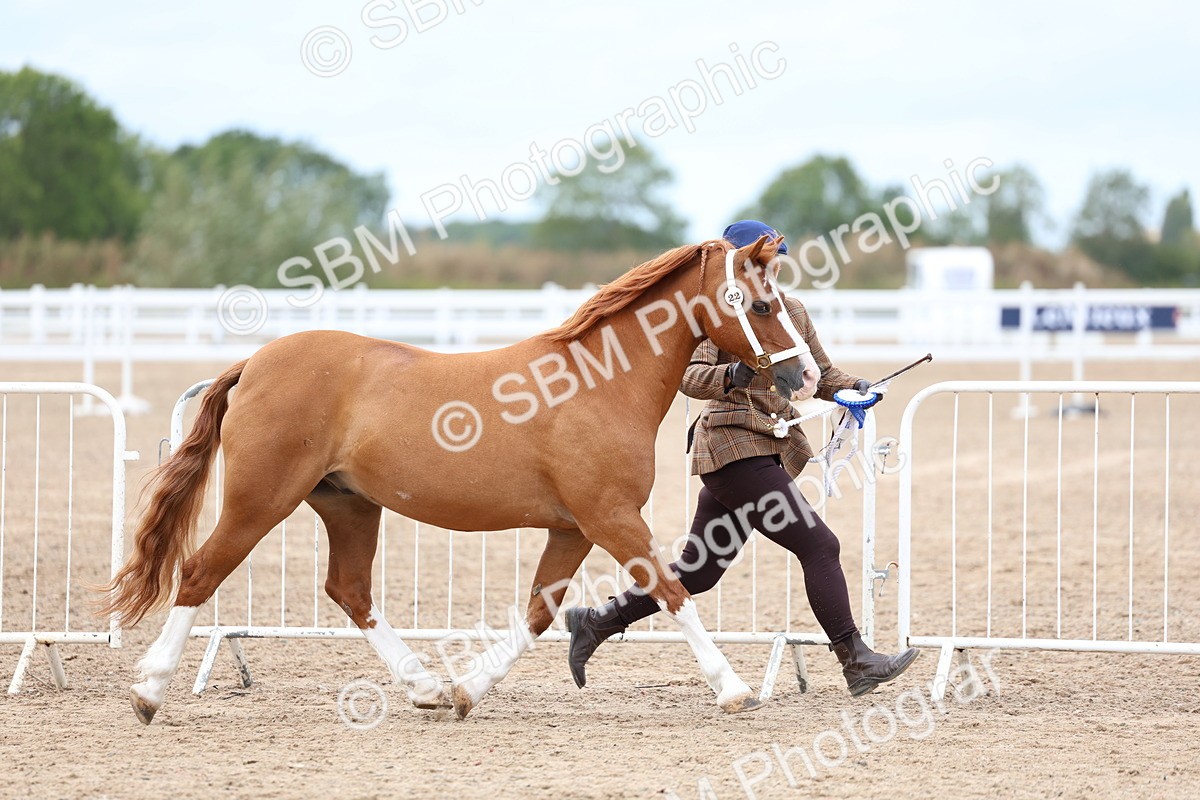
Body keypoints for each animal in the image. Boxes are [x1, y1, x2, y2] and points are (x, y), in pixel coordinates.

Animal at [101, 233, 821, 724]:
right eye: (762, 305)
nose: (806, 376)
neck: (597, 384)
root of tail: (254, 362)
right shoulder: (611, 517)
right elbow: (671, 592)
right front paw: (733, 689)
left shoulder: (575, 526)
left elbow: (539, 611)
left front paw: (468, 691)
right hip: (260, 500)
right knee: (200, 572)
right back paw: (147, 690)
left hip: (347, 506)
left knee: (349, 590)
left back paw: (423, 688)